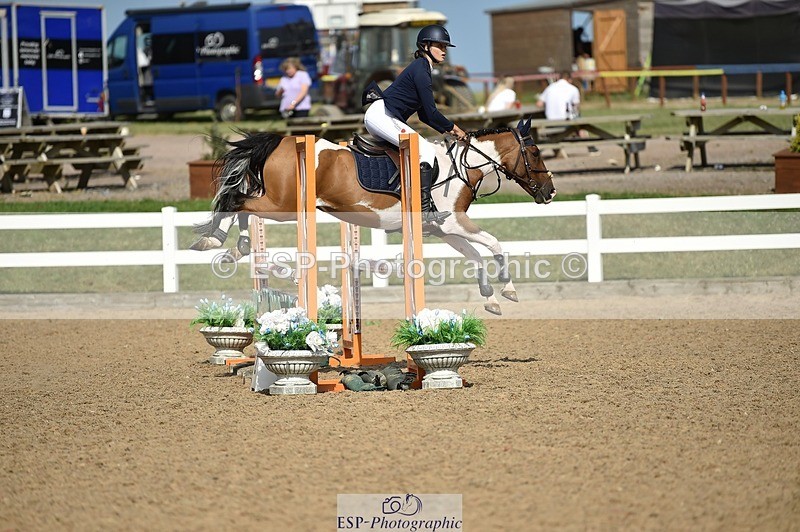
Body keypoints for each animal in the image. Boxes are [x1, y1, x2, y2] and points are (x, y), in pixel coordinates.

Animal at [191, 118, 556, 315]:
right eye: (535, 152)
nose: (550, 192)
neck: (463, 166)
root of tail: (281, 141)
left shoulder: (444, 230)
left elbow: (476, 256)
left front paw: (491, 300)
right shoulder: (453, 222)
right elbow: (494, 244)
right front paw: (508, 290)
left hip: (279, 205)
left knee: (241, 202)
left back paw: (232, 247)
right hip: (283, 207)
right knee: (237, 201)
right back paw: (219, 241)